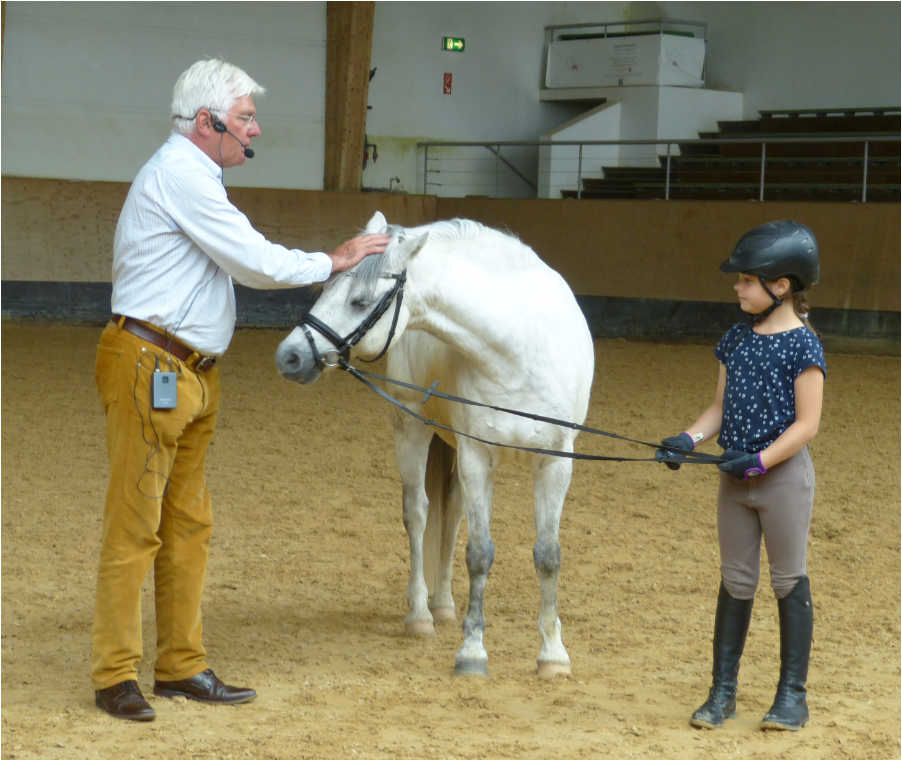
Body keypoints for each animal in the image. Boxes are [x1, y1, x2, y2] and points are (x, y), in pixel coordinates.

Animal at [278, 212, 596, 676]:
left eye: (359, 301)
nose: (289, 356)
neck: (519, 351)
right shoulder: (477, 456)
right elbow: (479, 553)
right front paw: (472, 652)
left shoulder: (555, 460)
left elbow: (547, 554)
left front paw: (553, 655)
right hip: (413, 428)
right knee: (418, 514)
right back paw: (421, 615)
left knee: (454, 514)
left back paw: (444, 604)